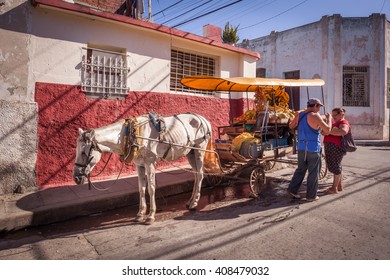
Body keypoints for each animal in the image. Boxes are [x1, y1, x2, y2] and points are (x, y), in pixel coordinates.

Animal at [71, 112, 212, 224]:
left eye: (83, 152)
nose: (76, 178)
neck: (131, 135)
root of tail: (203, 119)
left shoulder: (150, 163)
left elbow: (151, 189)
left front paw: (151, 215)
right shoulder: (139, 165)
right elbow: (141, 188)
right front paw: (140, 214)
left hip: (200, 149)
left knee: (200, 174)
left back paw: (194, 203)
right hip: (190, 153)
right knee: (195, 174)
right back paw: (191, 200)